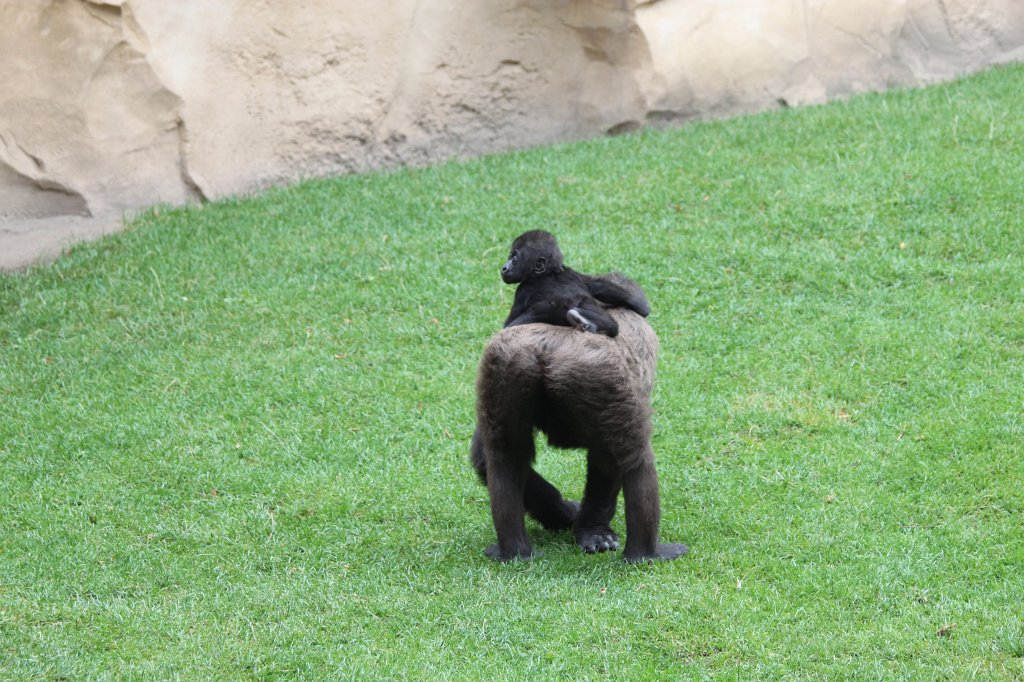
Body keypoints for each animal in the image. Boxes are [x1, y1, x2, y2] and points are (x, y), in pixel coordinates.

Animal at [471, 306, 688, 563]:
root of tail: (546, 350)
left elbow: (484, 457)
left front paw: (583, 524)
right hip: (597, 372)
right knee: (636, 459)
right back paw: (644, 553)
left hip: (504, 367)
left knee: (504, 457)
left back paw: (516, 551)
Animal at [500, 230, 650, 337]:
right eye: (509, 257)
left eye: (514, 258)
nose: (504, 268)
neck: (548, 272)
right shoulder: (575, 274)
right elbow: (601, 287)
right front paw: (640, 305)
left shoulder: (523, 290)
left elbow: (509, 324)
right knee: (613, 326)